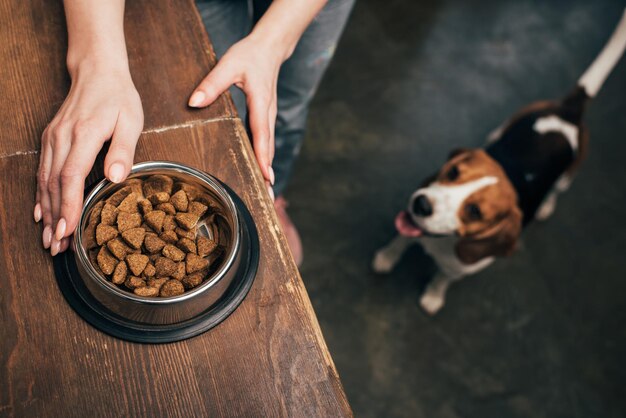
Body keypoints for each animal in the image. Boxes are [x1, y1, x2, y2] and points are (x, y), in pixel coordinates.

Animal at [370, 9, 624, 314]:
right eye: (453, 172)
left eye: (475, 211)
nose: (420, 204)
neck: (443, 242)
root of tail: (569, 111)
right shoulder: (410, 228)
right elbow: (400, 241)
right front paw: (386, 258)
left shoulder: (458, 270)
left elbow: (443, 279)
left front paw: (433, 297)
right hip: (504, 126)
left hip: (567, 175)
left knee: (558, 190)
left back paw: (545, 207)